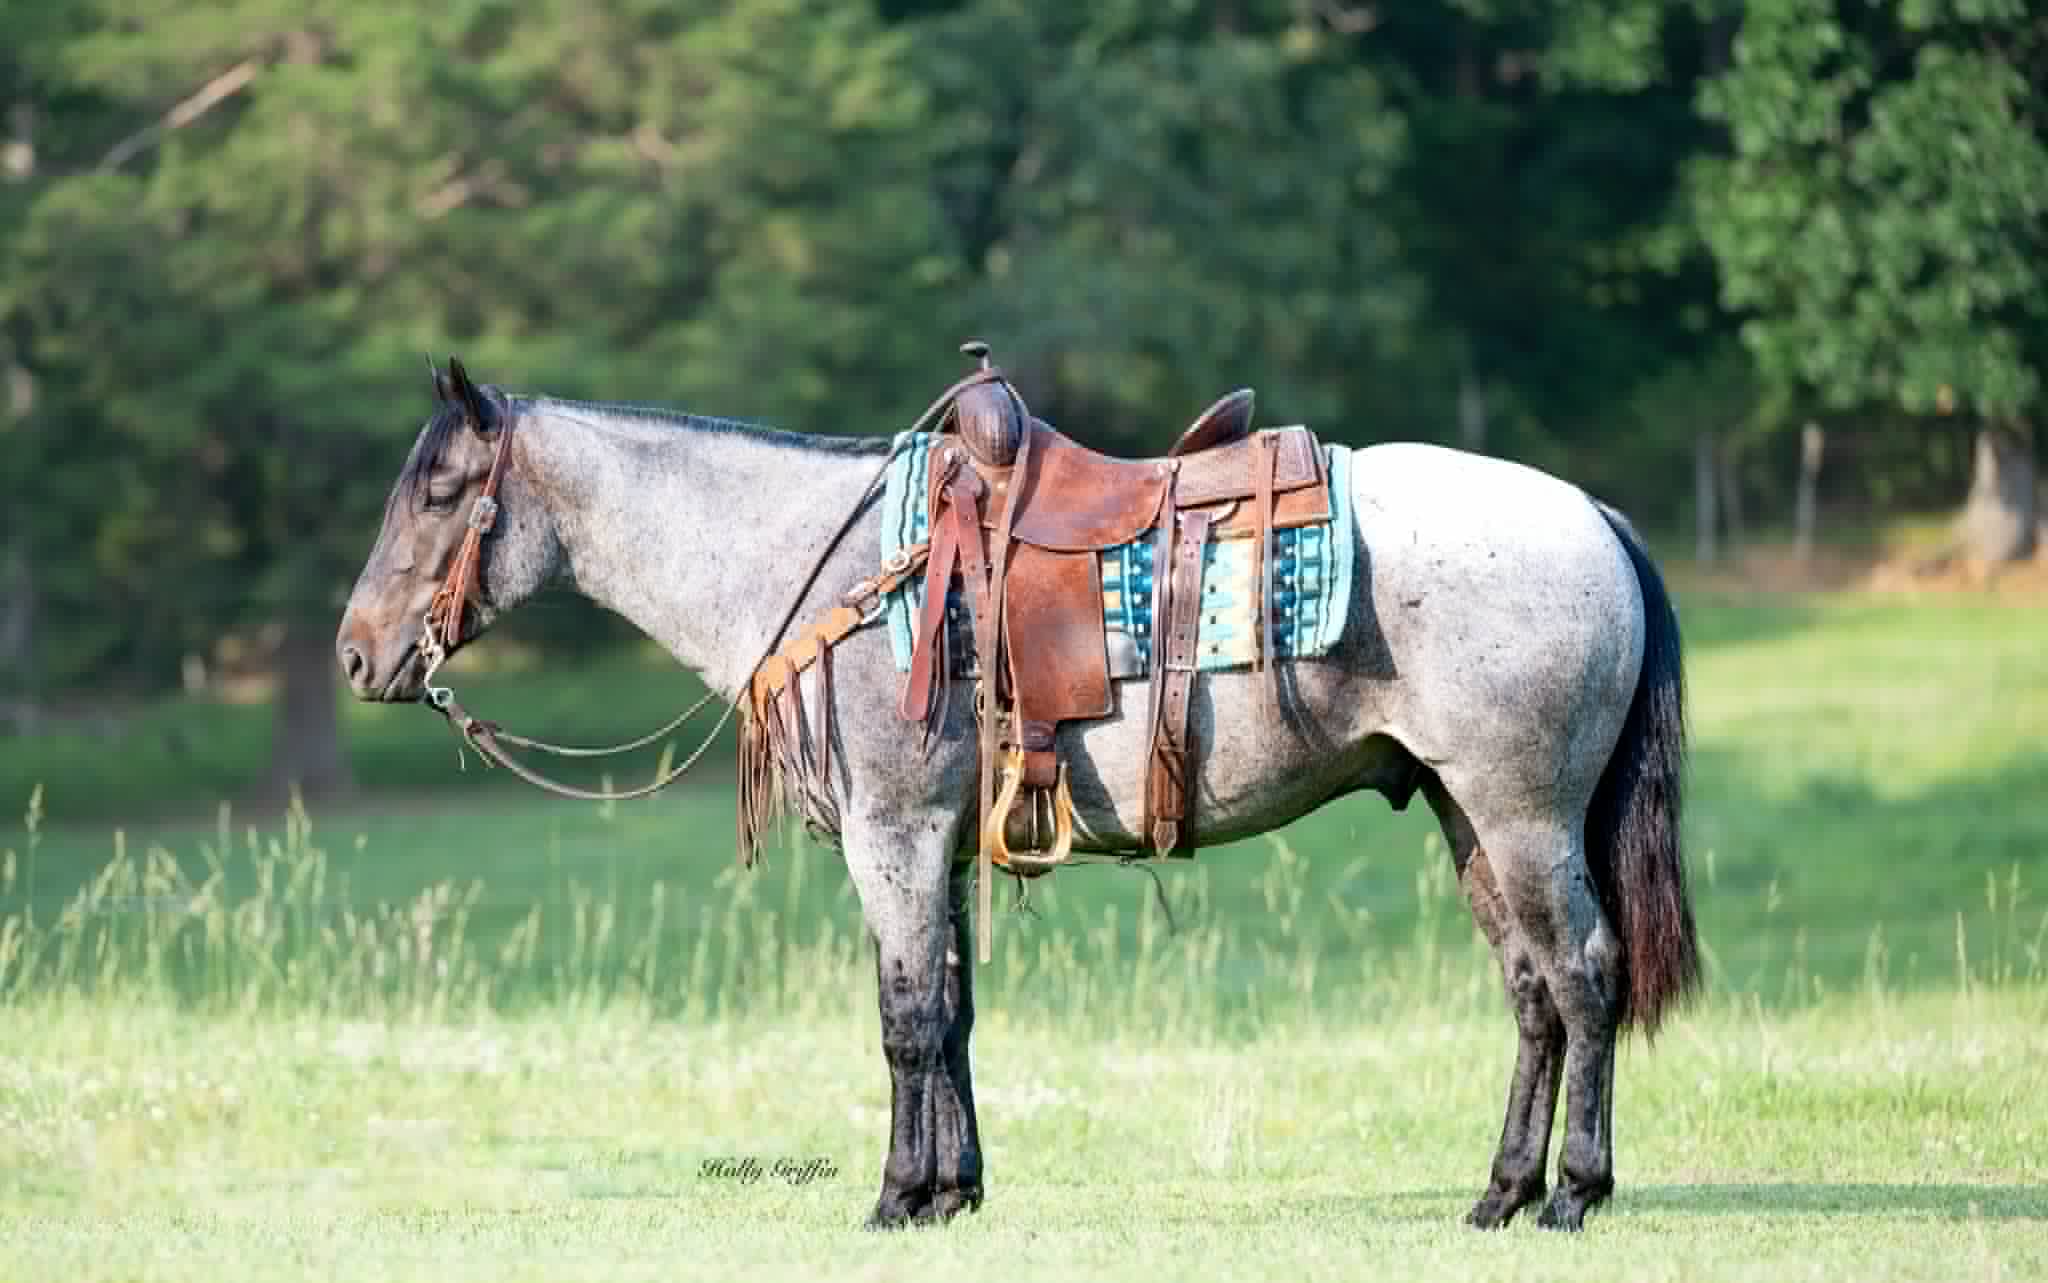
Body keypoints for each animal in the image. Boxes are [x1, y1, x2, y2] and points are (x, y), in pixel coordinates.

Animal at [336, 356, 1699, 1232]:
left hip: (1520, 815)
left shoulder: (891, 834)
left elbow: (903, 1018)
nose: (357, 653)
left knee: (1582, 973)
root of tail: (1593, 515)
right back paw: (1500, 1191)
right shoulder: (936, 841)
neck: (828, 566)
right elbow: (951, 1009)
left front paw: (897, 1196)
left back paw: (1573, 1191)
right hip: (1469, 816)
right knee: (1530, 992)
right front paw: (955, 1186)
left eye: (441, 492)